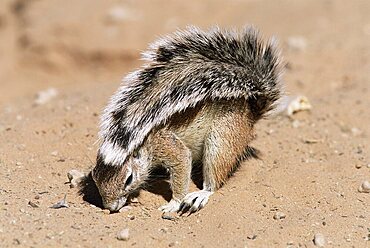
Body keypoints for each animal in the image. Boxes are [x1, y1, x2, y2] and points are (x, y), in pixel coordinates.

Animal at [92, 26, 284, 214]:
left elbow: (182, 164)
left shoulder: (167, 145)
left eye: (129, 179)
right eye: (94, 177)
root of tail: (251, 111)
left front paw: (174, 203)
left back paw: (200, 195)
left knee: (214, 178)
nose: (110, 208)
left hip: (223, 137)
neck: (140, 141)